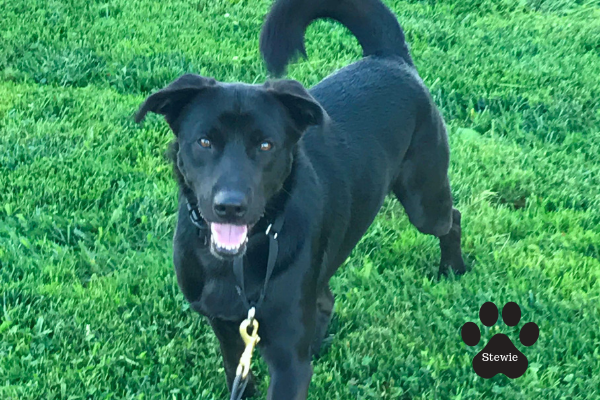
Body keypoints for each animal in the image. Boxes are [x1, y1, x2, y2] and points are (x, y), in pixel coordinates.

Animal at [135, 0, 464, 398]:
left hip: (424, 200)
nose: (230, 206)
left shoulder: (289, 362)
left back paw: (453, 268)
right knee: (325, 299)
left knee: (452, 219)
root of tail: (389, 57)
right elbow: (237, 373)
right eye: (204, 141)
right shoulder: (228, 330)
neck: (239, 264)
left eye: (266, 145)